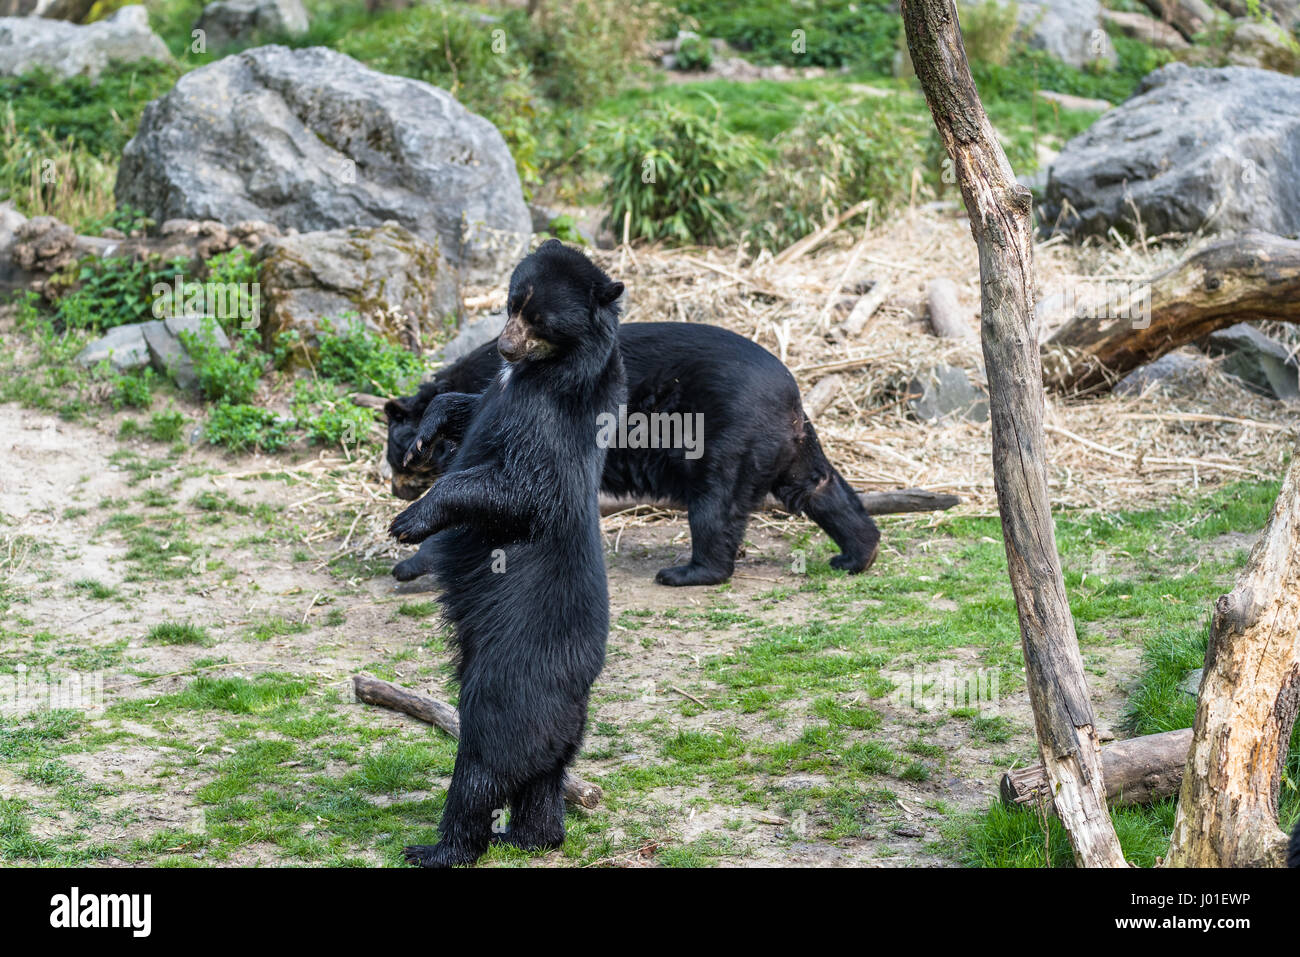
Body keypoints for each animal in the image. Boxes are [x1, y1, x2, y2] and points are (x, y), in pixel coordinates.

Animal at [385, 321, 881, 587]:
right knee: (820, 488)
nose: (395, 489)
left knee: (714, 506)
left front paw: (409, 553)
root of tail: (792, 394)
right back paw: (856, 554)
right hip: (784, 444)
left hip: (724, 437)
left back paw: (686, 572)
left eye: (394, 463)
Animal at [387, 239, 625, 867]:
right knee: (543, 779)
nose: (502, 347)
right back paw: (531, 835)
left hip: (503, 694)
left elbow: (517, 488)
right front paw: (425, 431)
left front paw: (409, 521)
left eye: (539, 318)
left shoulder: (546, 422)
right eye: (512, 304)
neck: (543, 370)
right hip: (554, 736)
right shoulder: (501, 391)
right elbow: (464, 403)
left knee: (481, 770)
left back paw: (439, 848)